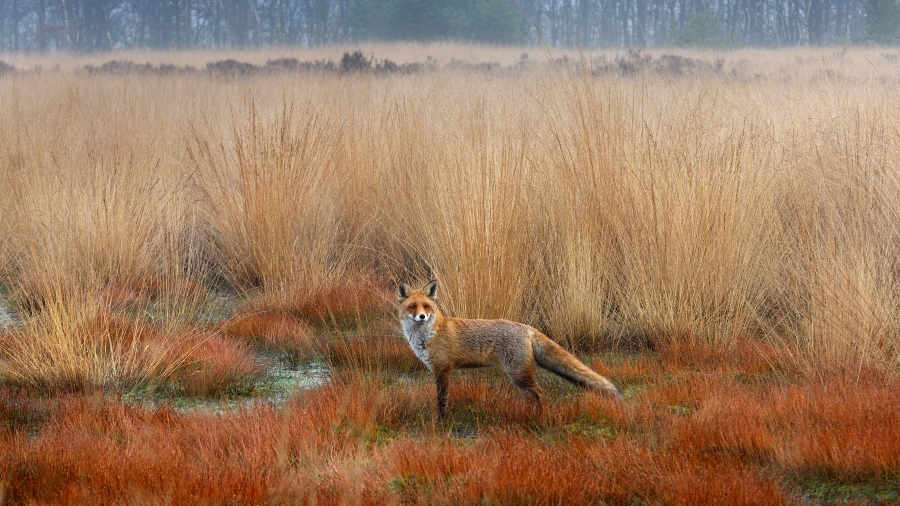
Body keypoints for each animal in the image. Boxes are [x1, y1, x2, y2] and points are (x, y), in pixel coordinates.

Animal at [398, 278, 624, 418]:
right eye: (412, 307)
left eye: (426, 307)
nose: (422, 316)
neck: (427, 336)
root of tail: (527, 327)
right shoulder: (439, 370)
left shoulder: (443, 370)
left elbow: (441, 400)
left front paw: (441, 421)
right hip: (519, 377)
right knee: (531, 396)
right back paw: (528, 415)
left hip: (518, 374)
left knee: (540, 392)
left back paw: (541, 417)